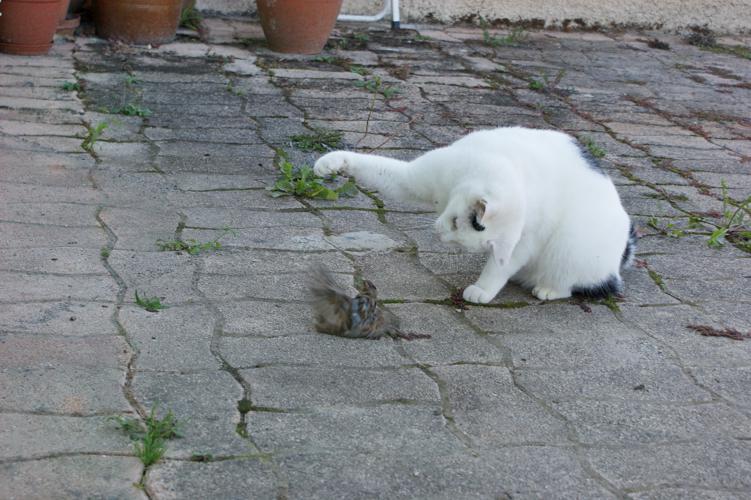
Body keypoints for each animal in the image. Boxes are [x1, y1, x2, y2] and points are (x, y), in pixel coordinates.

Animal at [314, 127, 636, 302]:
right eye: (456, 221)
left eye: (459, 232)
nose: (440, 234)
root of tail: (620, 260)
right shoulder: (415, 177)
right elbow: (375, 167)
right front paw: (332, 162)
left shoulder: (524, 241)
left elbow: (500, 267)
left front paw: (482, 289)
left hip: (571, 246)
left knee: (573, 284)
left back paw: (547, 289)